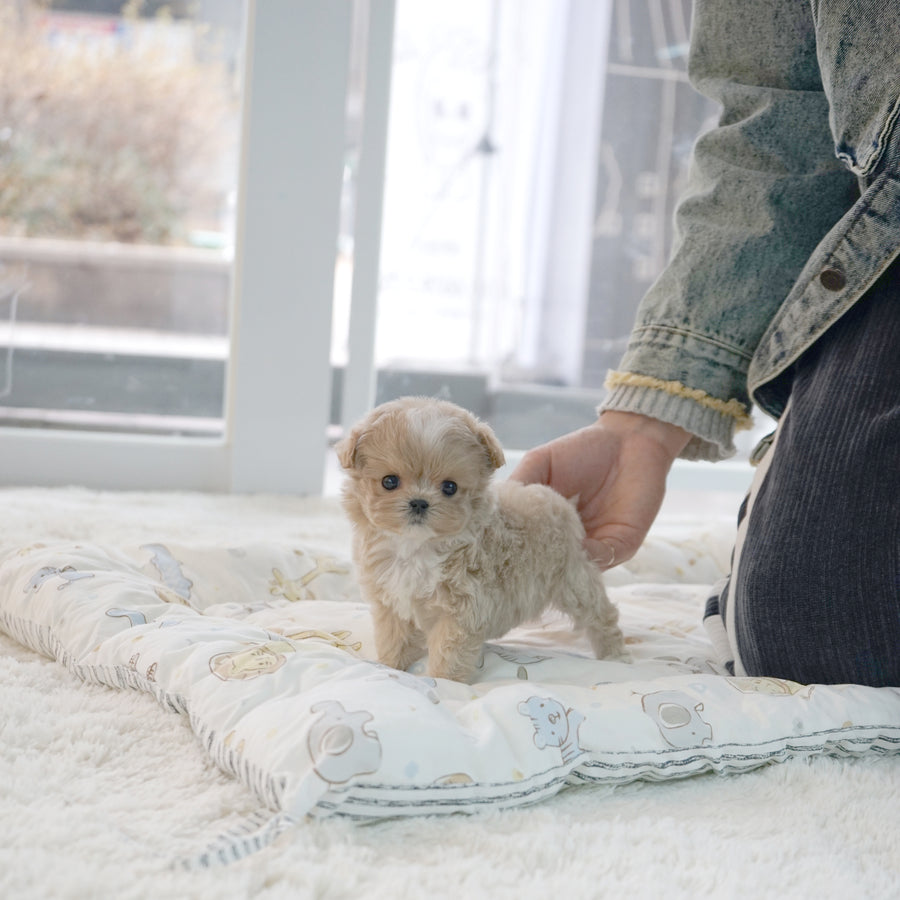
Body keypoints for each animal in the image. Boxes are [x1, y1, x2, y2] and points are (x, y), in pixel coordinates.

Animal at [334, 396, 624, 684]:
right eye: (389, 481)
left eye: (450, 487)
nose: (419, 502)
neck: (418, 548)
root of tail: (560, 503)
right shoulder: (392, 602)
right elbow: (395, 639)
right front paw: (391, 667)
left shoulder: (462, 613)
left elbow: (448, 654)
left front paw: (443, 683)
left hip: (573, 582)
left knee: (601, 615)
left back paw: (614, 654)